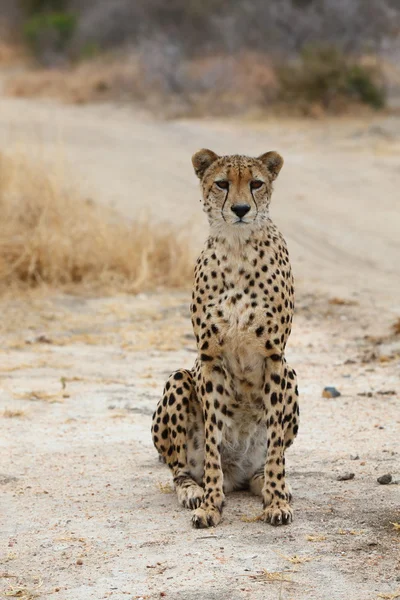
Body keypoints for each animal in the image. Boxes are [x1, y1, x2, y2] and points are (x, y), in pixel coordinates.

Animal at [152, 148, 298, 528]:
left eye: (256, 183)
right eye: (221, 183)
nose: (241, 209)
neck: (238, 247)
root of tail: (239, 474)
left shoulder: (274, 356)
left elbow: (276, 448)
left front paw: (276, 501)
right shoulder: (210, 357)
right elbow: (213, 443)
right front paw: (210, 505)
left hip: (291, 375)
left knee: (269, 458)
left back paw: (269, 484)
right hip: (179, 379)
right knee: (179, 468)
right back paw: (192, 490)